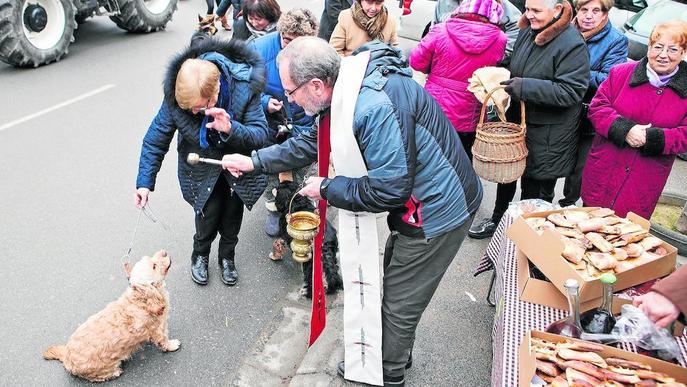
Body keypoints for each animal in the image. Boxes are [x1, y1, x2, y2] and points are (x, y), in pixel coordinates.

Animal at [41, 250, 179, 384]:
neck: (141, 299)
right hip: (100, 369)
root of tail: (66, 357)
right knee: (98, 377)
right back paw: (115, 372)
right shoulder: (159, 328)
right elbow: (164, 340)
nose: (164, 252)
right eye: (154, 266)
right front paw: (172, 345)